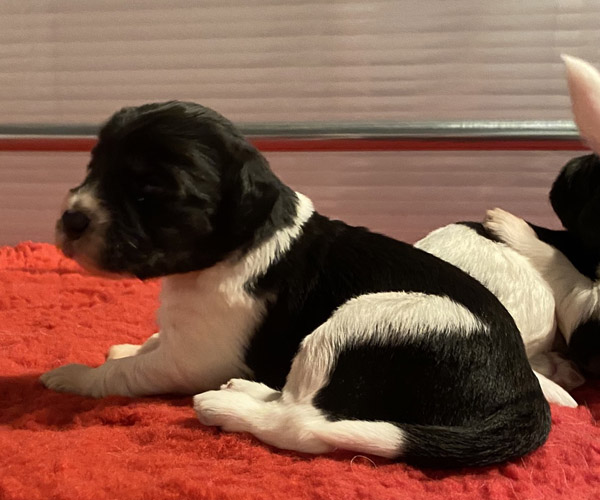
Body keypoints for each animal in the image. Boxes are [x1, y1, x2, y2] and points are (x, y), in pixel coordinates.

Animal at [40, 100, 550, 468]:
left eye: (149, 194)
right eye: (92, 168)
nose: (71, 219)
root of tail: (525, 393)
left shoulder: (190, 362)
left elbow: (125, 374)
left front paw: (76, 375)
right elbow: (151, 344)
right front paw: (131, 345)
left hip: (362, 320)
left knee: (302, 421)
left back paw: (231, 407)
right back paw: (247, 389)